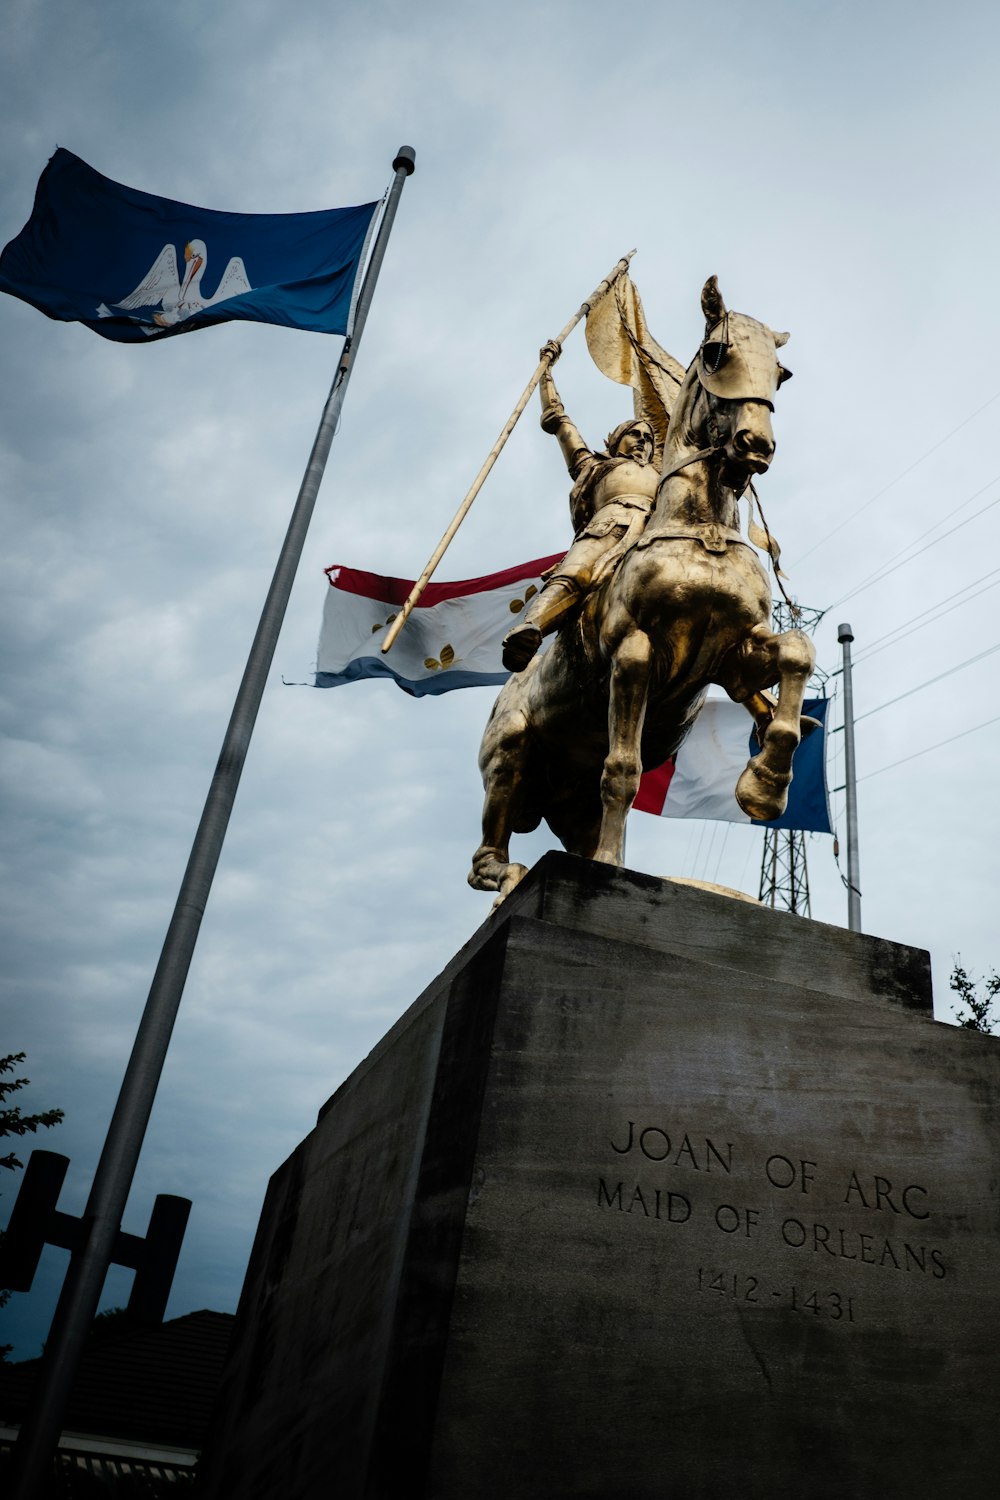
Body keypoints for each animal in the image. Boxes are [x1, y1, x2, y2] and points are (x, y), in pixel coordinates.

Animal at [470, 280, 815, 900]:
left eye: (783, 373)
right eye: (716, 353)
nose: (756, 444)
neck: (701, 531)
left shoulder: (734, 655)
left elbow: (799, 651)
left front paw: (765, 786)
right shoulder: (635, 654)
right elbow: (623, 770)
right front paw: (609, 870)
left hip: (570, 799)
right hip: (510, 752)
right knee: (485, 857)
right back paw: (514, 874)